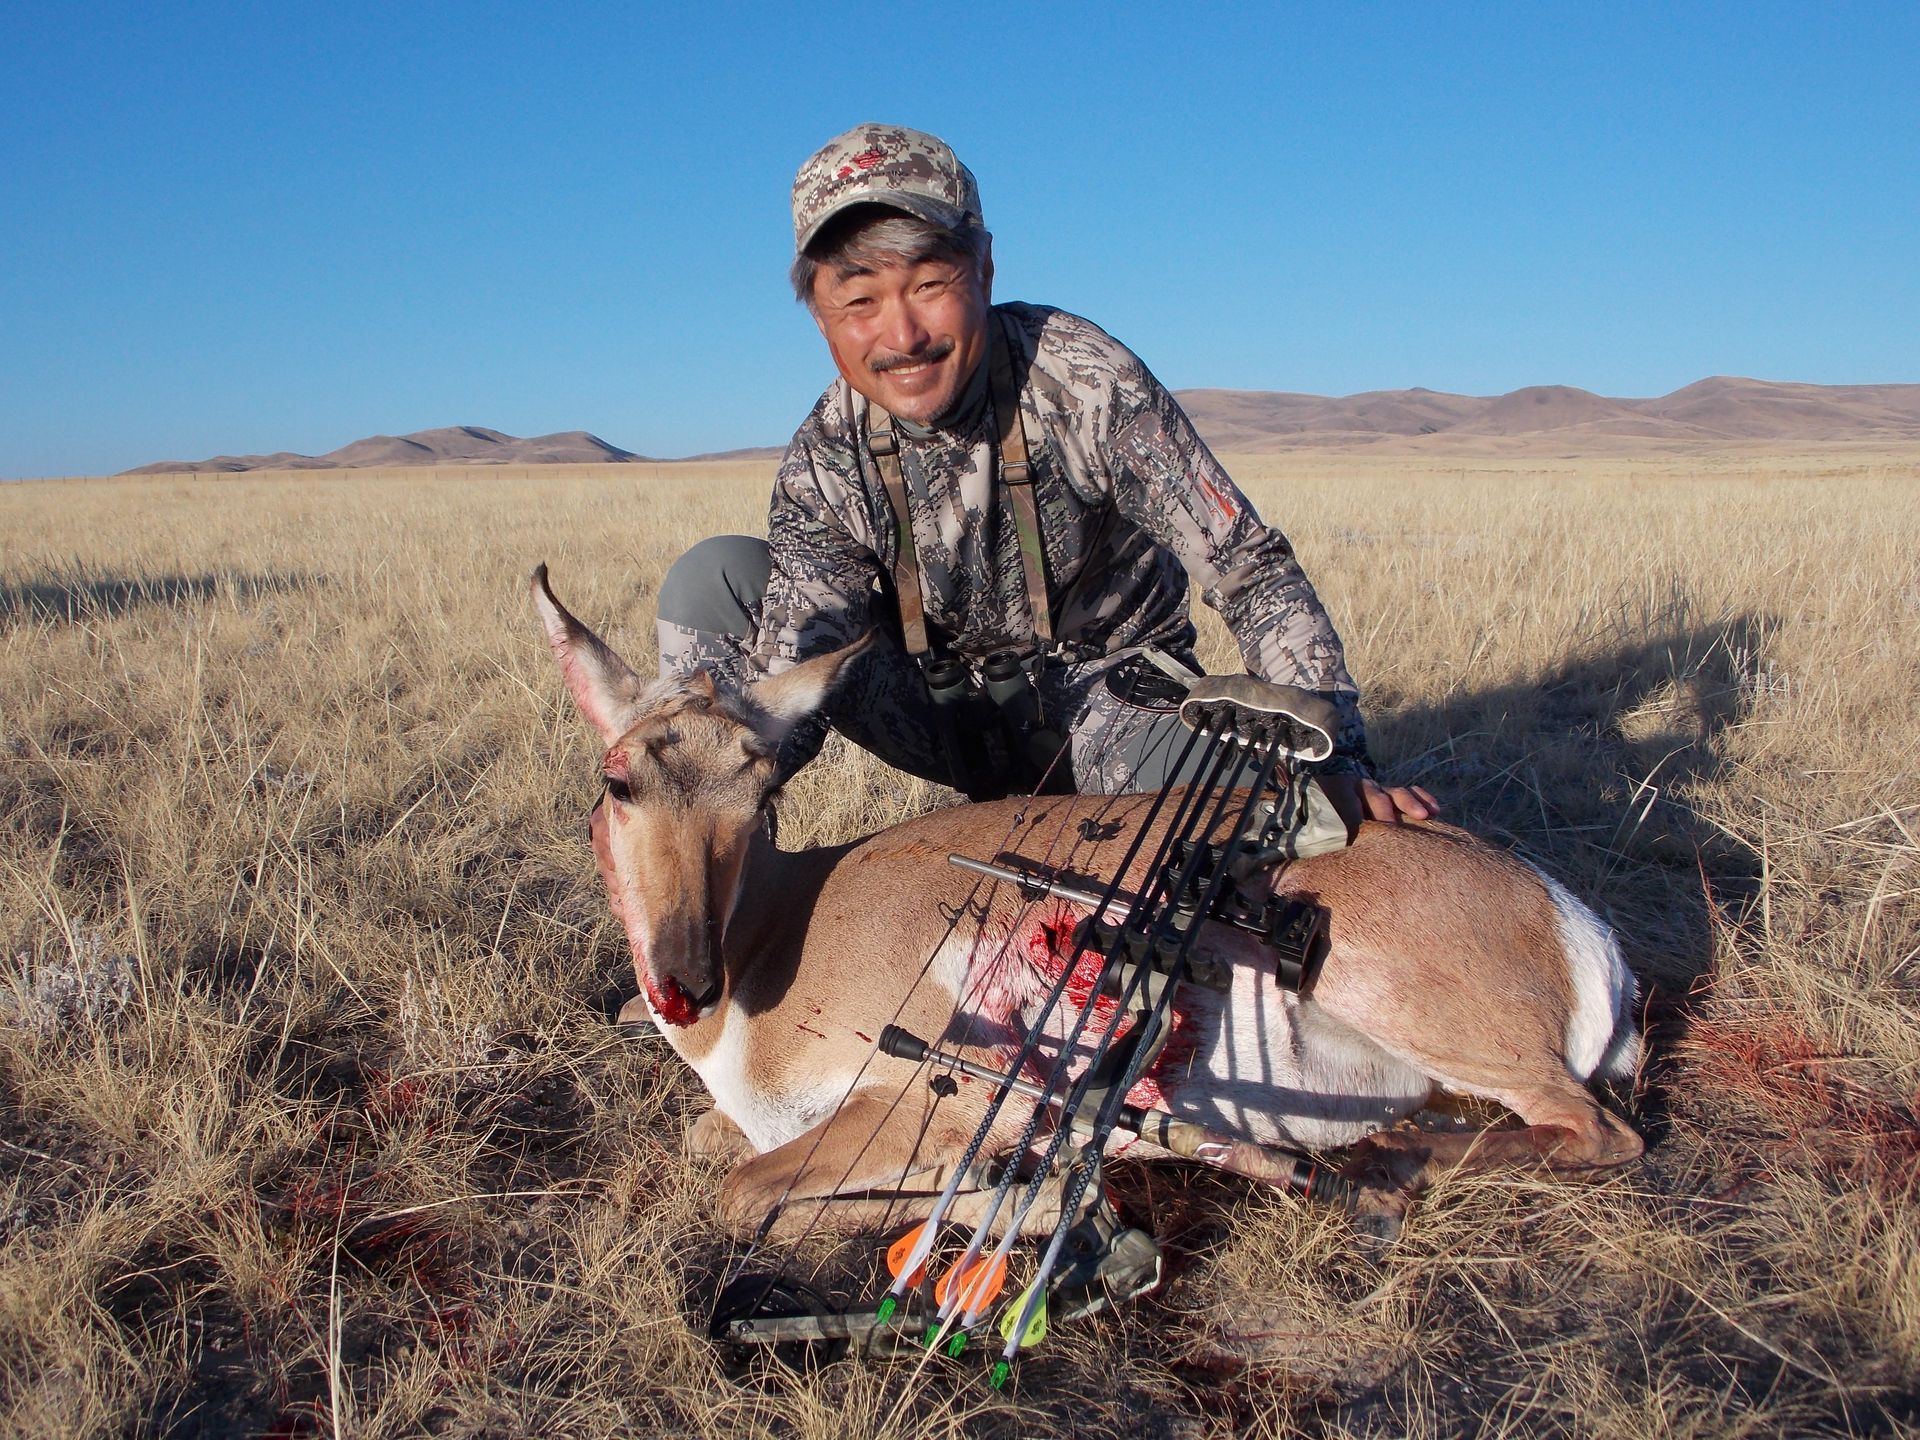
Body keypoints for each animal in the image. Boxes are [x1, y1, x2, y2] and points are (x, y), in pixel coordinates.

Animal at [531, 566, 1643, 1236]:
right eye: (617, 781)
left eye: (761, 791)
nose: (685, 981)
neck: (776, 939)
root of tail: (1572, 921)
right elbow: (717, 1152)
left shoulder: (938, 1090)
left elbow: (747, 1191)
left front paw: (1014, 1196)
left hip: (1397, 996)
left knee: (1599, 1132)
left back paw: (1385, 1162)